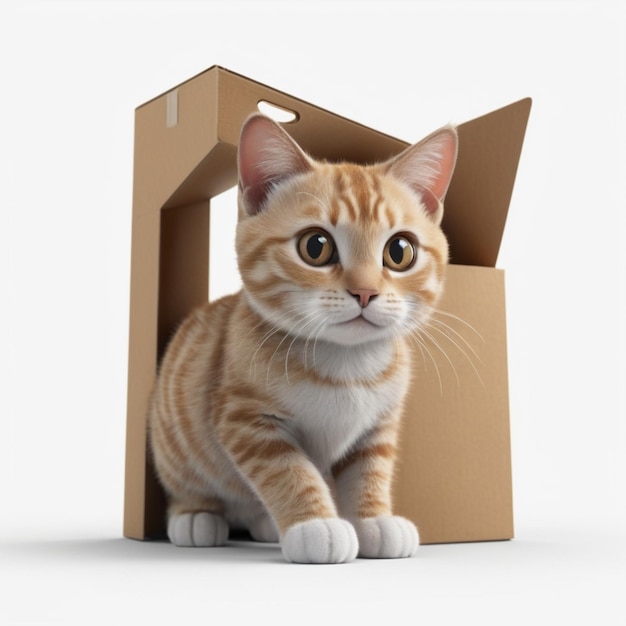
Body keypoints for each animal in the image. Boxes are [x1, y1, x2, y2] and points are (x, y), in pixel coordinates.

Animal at [148, 111, 456, 560]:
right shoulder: (246, 419)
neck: (346, 365)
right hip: (174, 441)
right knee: (190, 486)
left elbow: (369, 471)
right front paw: (316, 525)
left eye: (400, 251)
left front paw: (373, 520)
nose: (366, 291)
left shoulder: (377, 425)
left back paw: (263, 525)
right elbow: (289, 470)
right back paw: (196, 517)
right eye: (316, 246)